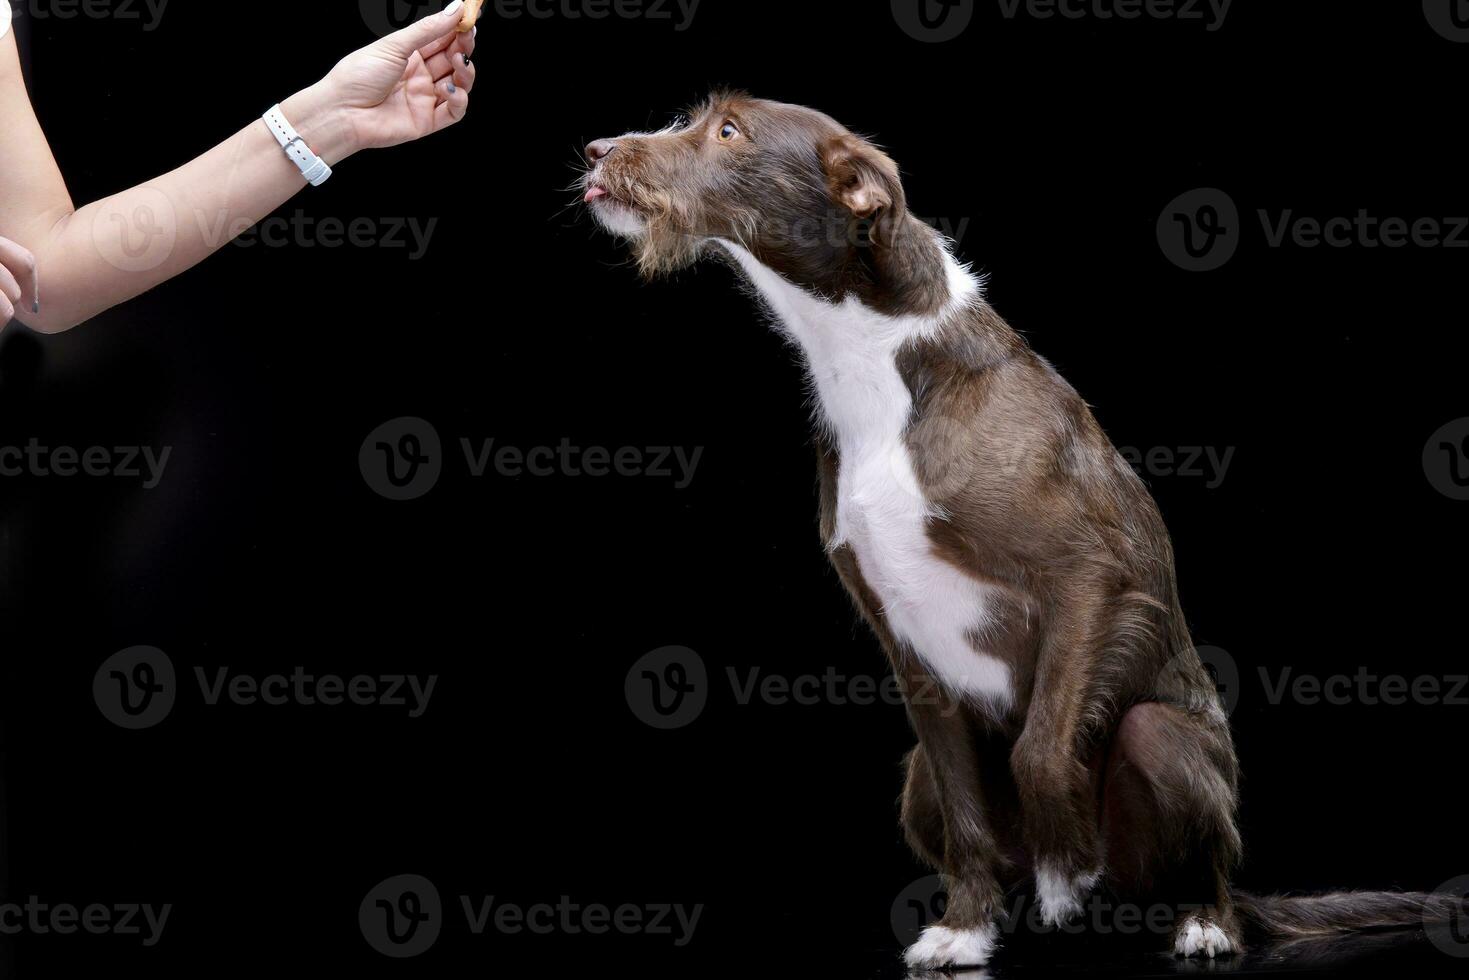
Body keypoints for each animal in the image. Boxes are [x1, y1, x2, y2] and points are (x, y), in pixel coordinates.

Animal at [575, 94, 1457, 975]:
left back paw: (1200, 922)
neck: (879, 360)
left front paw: (1064, 866)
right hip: (912, 784)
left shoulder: (1087, 579)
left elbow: (1040, 747)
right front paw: (966, 928)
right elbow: (965, 804)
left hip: (1161, 737)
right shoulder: (905, 641)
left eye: (727, 131)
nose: (594, 150)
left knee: (1207, 862)